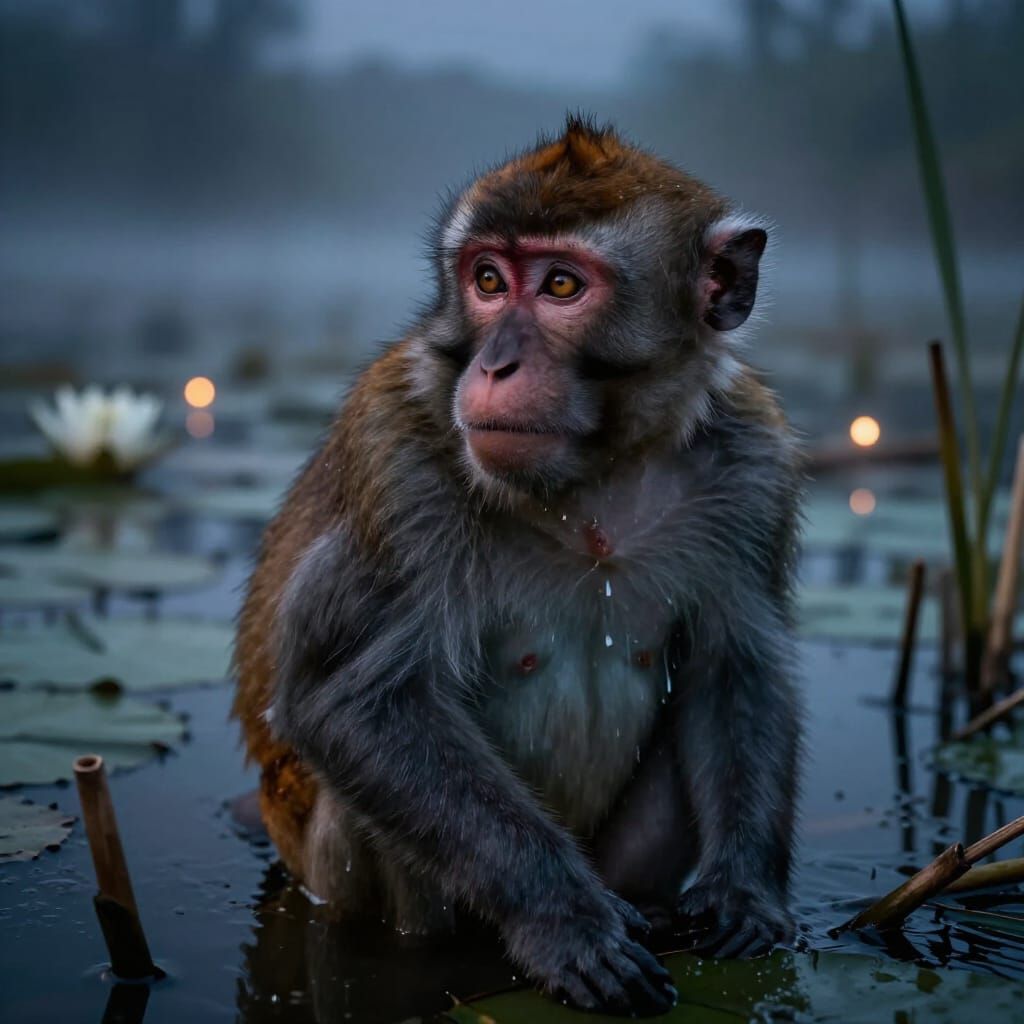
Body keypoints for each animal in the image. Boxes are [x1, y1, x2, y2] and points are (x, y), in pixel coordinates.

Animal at [234, 115, 803, 1017]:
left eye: (563, 285)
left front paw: (745, 893)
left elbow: (733, 669)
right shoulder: (399, 465)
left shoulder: (756, 462)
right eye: (489, 281)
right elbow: (355, 703)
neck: (595, 471)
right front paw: (564, 922)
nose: (495, 364)